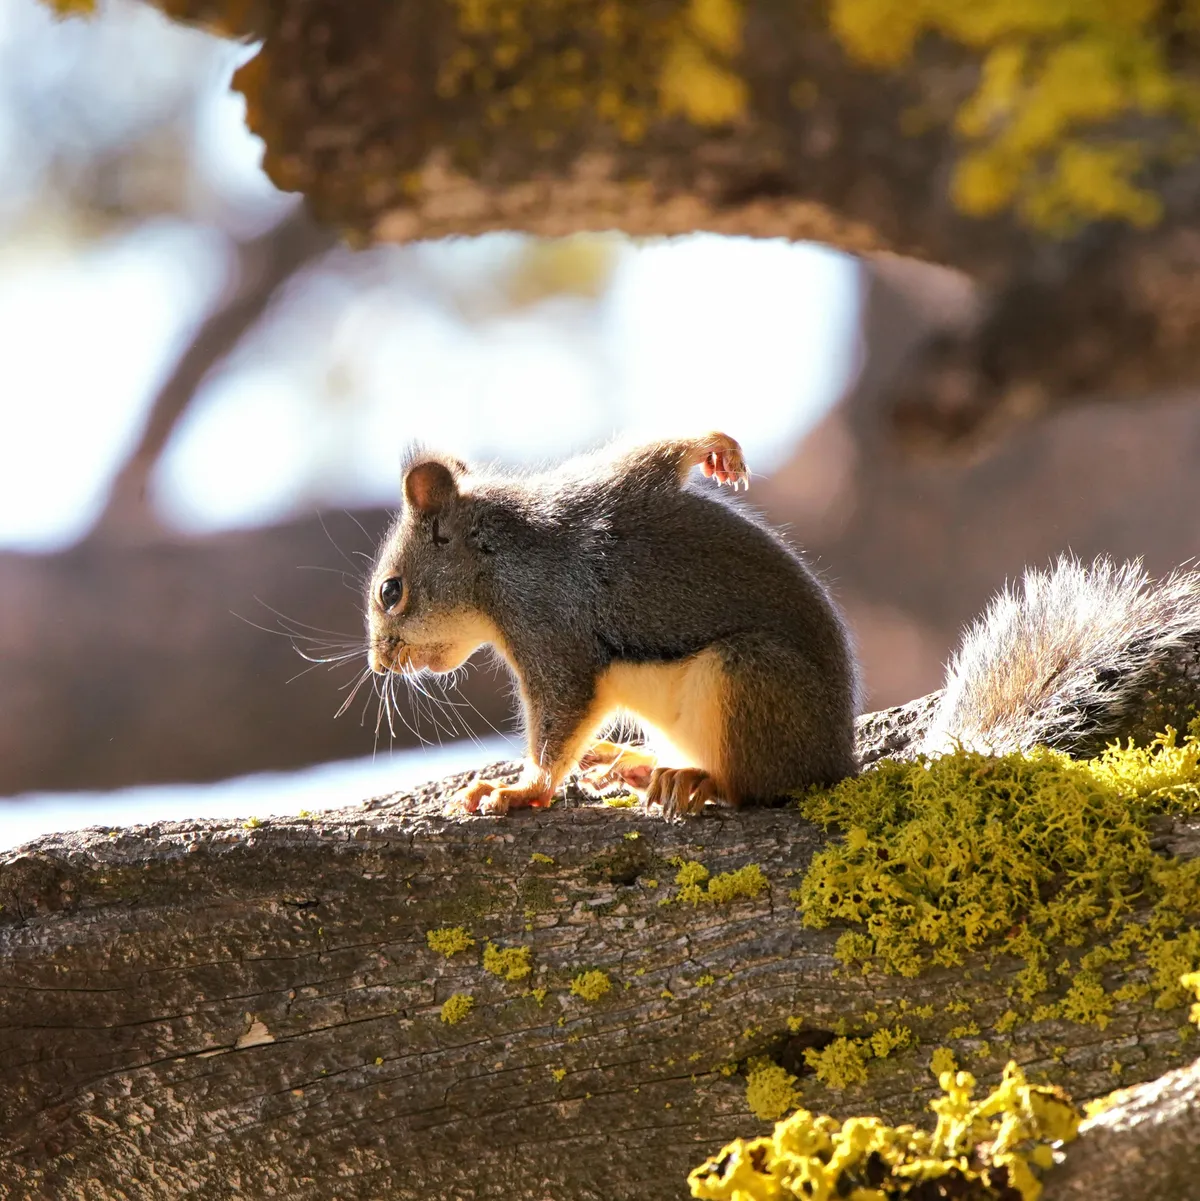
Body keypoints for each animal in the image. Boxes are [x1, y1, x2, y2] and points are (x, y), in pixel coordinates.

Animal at [364, 430, 1200, 817]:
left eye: (391, 591)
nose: (380, 665)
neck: (500, 554)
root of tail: (835, 764)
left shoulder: (551, 631)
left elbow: (557, 724)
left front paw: (520, 790)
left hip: (748, 678)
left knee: (756, 788)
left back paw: (696, 780)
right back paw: (634, 764)